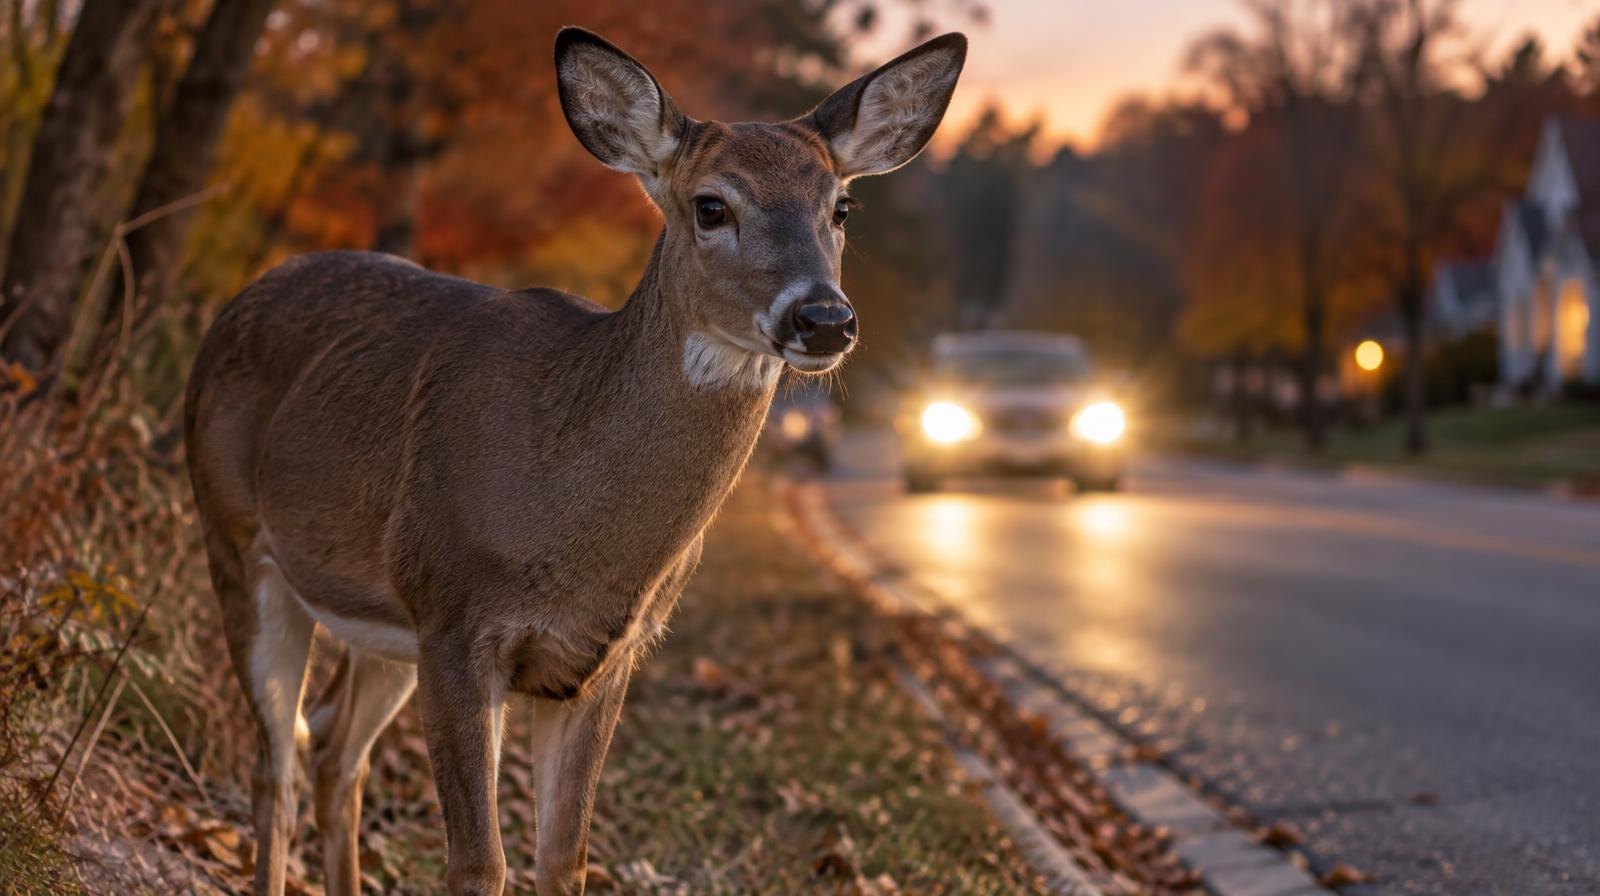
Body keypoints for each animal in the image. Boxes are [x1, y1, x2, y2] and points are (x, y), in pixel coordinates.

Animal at [184, 26, 964, 896]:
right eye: (712, 206)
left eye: (841, 206)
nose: (824, 318)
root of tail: (230, 308)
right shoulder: (455, 617)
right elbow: (478, 863)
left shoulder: (602, 656)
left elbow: (566, 858)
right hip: (235, 537)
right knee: (276, 762)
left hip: (382, 618)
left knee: (331, 752)